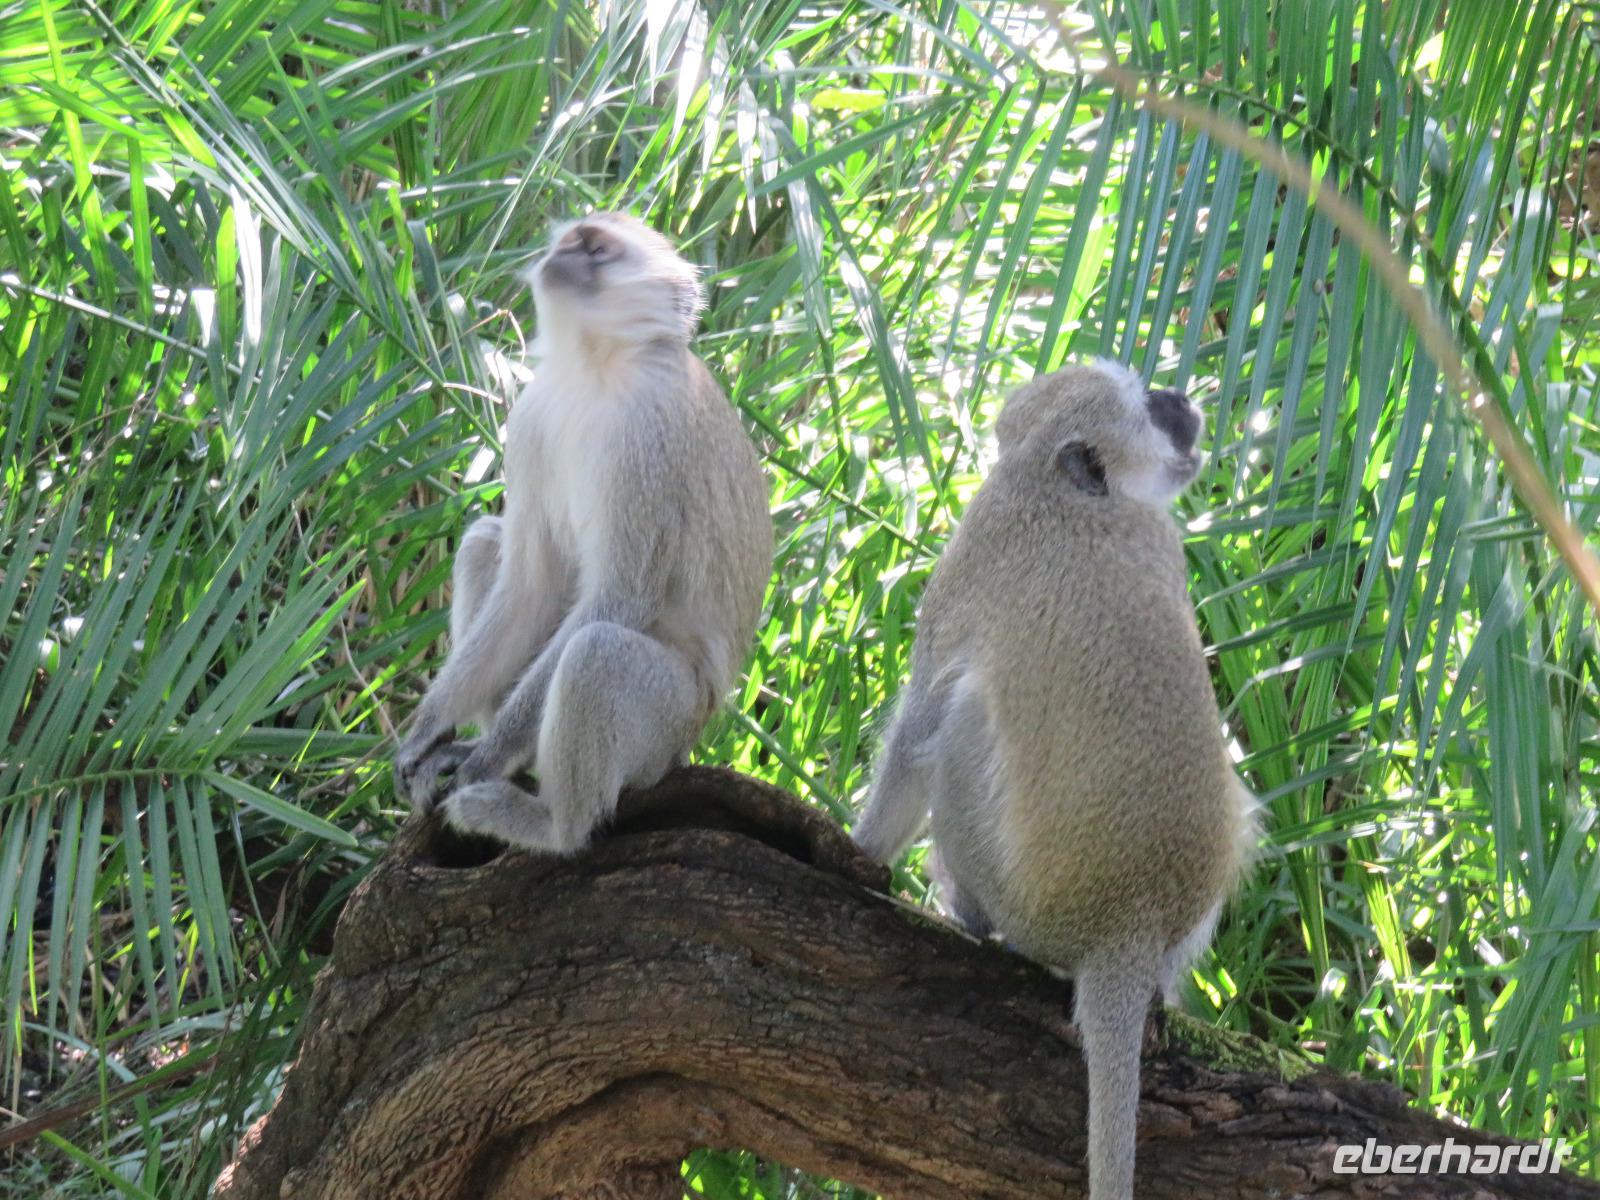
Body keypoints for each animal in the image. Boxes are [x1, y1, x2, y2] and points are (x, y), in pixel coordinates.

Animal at [394, 212, 773, 854]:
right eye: (570, 240)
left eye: (597, 250)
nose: (560, 258)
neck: (594, 368)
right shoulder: (531, 418)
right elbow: (528, 585)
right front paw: (431, 735)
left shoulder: (649, 444)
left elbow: (618, 600)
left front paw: (481, 761)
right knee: (486, 544)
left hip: (665, 727)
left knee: (597, 652)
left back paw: (551, 825)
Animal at [852, 359, 1255, 1200]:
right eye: (1147, 403)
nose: (1181, 400)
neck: (1049, 479)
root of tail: (1133, 922)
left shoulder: (973, 558)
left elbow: (917, 733)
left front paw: (858, 852)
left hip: (1026, 902)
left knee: (960, 722)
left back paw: (970, 915)